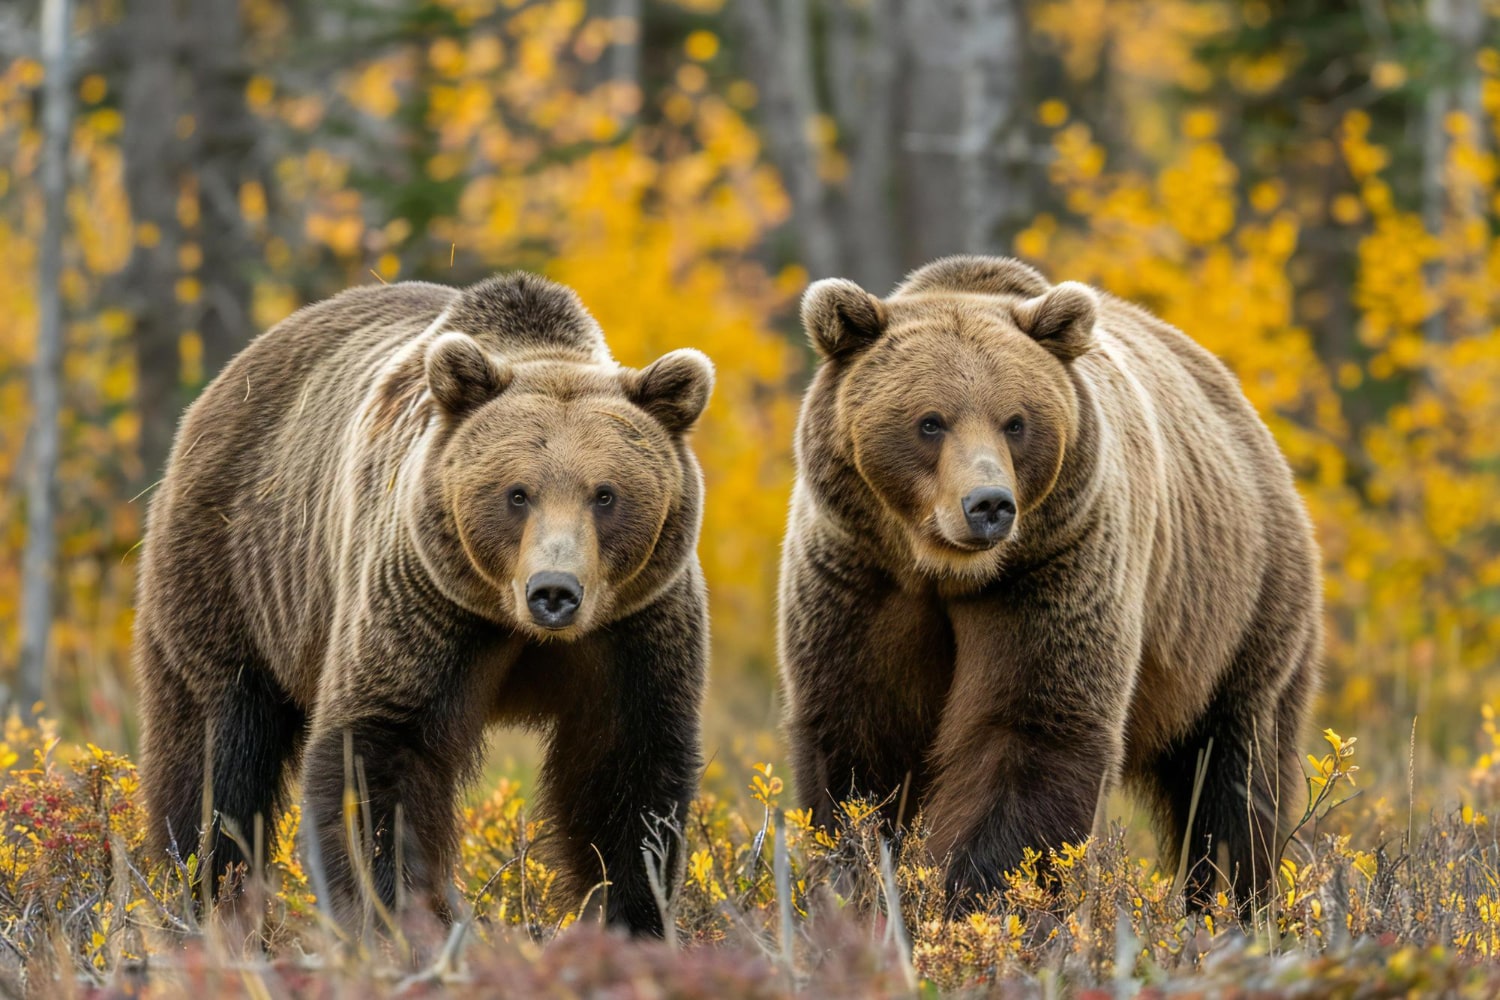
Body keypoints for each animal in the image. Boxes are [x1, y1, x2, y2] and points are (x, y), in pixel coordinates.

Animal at [132, 271, 711, 941]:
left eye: (606, 494)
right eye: (517, 493)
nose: (554, 592)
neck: (514, 627)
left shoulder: (632, 629)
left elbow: (627, 774)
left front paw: (634, 920)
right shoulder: (421, 605)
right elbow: (378, 754)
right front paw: (397, 917)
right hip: (233, 573)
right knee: (216, 750)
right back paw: (204, 900)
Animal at [780, 256, 1320, 917]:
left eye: (1015, 422)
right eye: (930, 422)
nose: (989, 504)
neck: (943, 572)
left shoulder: (1053, 571)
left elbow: (1031, 732)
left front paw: (978, 900)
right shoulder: (859, 580)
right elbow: (857, 740)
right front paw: (861, 887)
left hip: (1240, 607)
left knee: (1235, 771)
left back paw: (1232, 905)